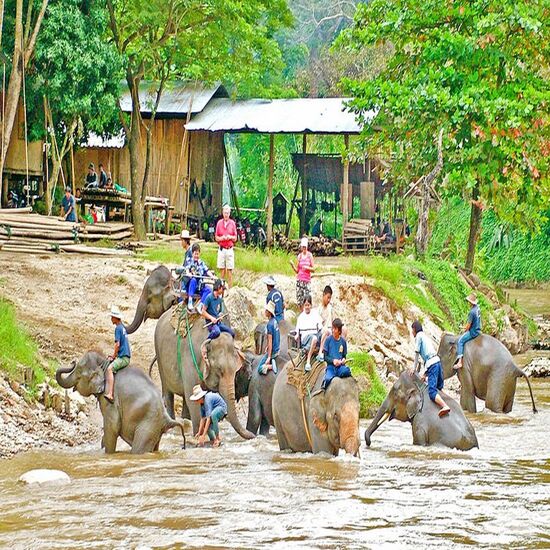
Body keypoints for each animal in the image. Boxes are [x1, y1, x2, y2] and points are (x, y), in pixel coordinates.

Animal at [56, 352, 187, 454]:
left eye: (79, 373)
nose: (72, 362)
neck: (104, 362)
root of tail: (167, 418)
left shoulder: (110, 400)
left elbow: (112, 427)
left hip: (148, 425)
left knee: (138, 449)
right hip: (155, 429)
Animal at [153, 308, 256, 442]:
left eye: (235, 371)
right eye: (219, 370)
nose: (254, 435)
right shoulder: (189, 360)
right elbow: (193, 400)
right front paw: (199, 436)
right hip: (160, 359)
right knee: (168, 395)